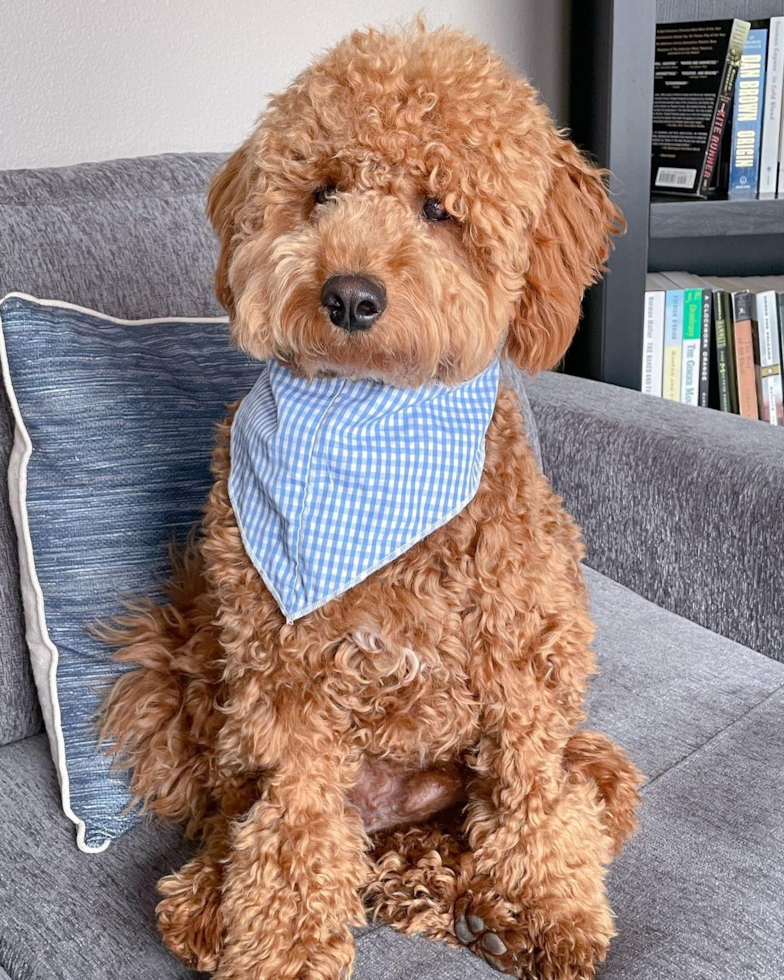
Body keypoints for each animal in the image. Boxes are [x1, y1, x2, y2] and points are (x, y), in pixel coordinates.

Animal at [102, 21, 644, 980]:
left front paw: (541, 909)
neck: (372, 429)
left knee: (538, 801)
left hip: (586, 759)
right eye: (322, 192)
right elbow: (292, 827)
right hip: (215, 698)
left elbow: (531, 791)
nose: (349, 294)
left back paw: (460, 901)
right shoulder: (283, 682)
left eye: (439, 209)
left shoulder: (524, 663)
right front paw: (279, 948)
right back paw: (213, 900)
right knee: (238, 816)